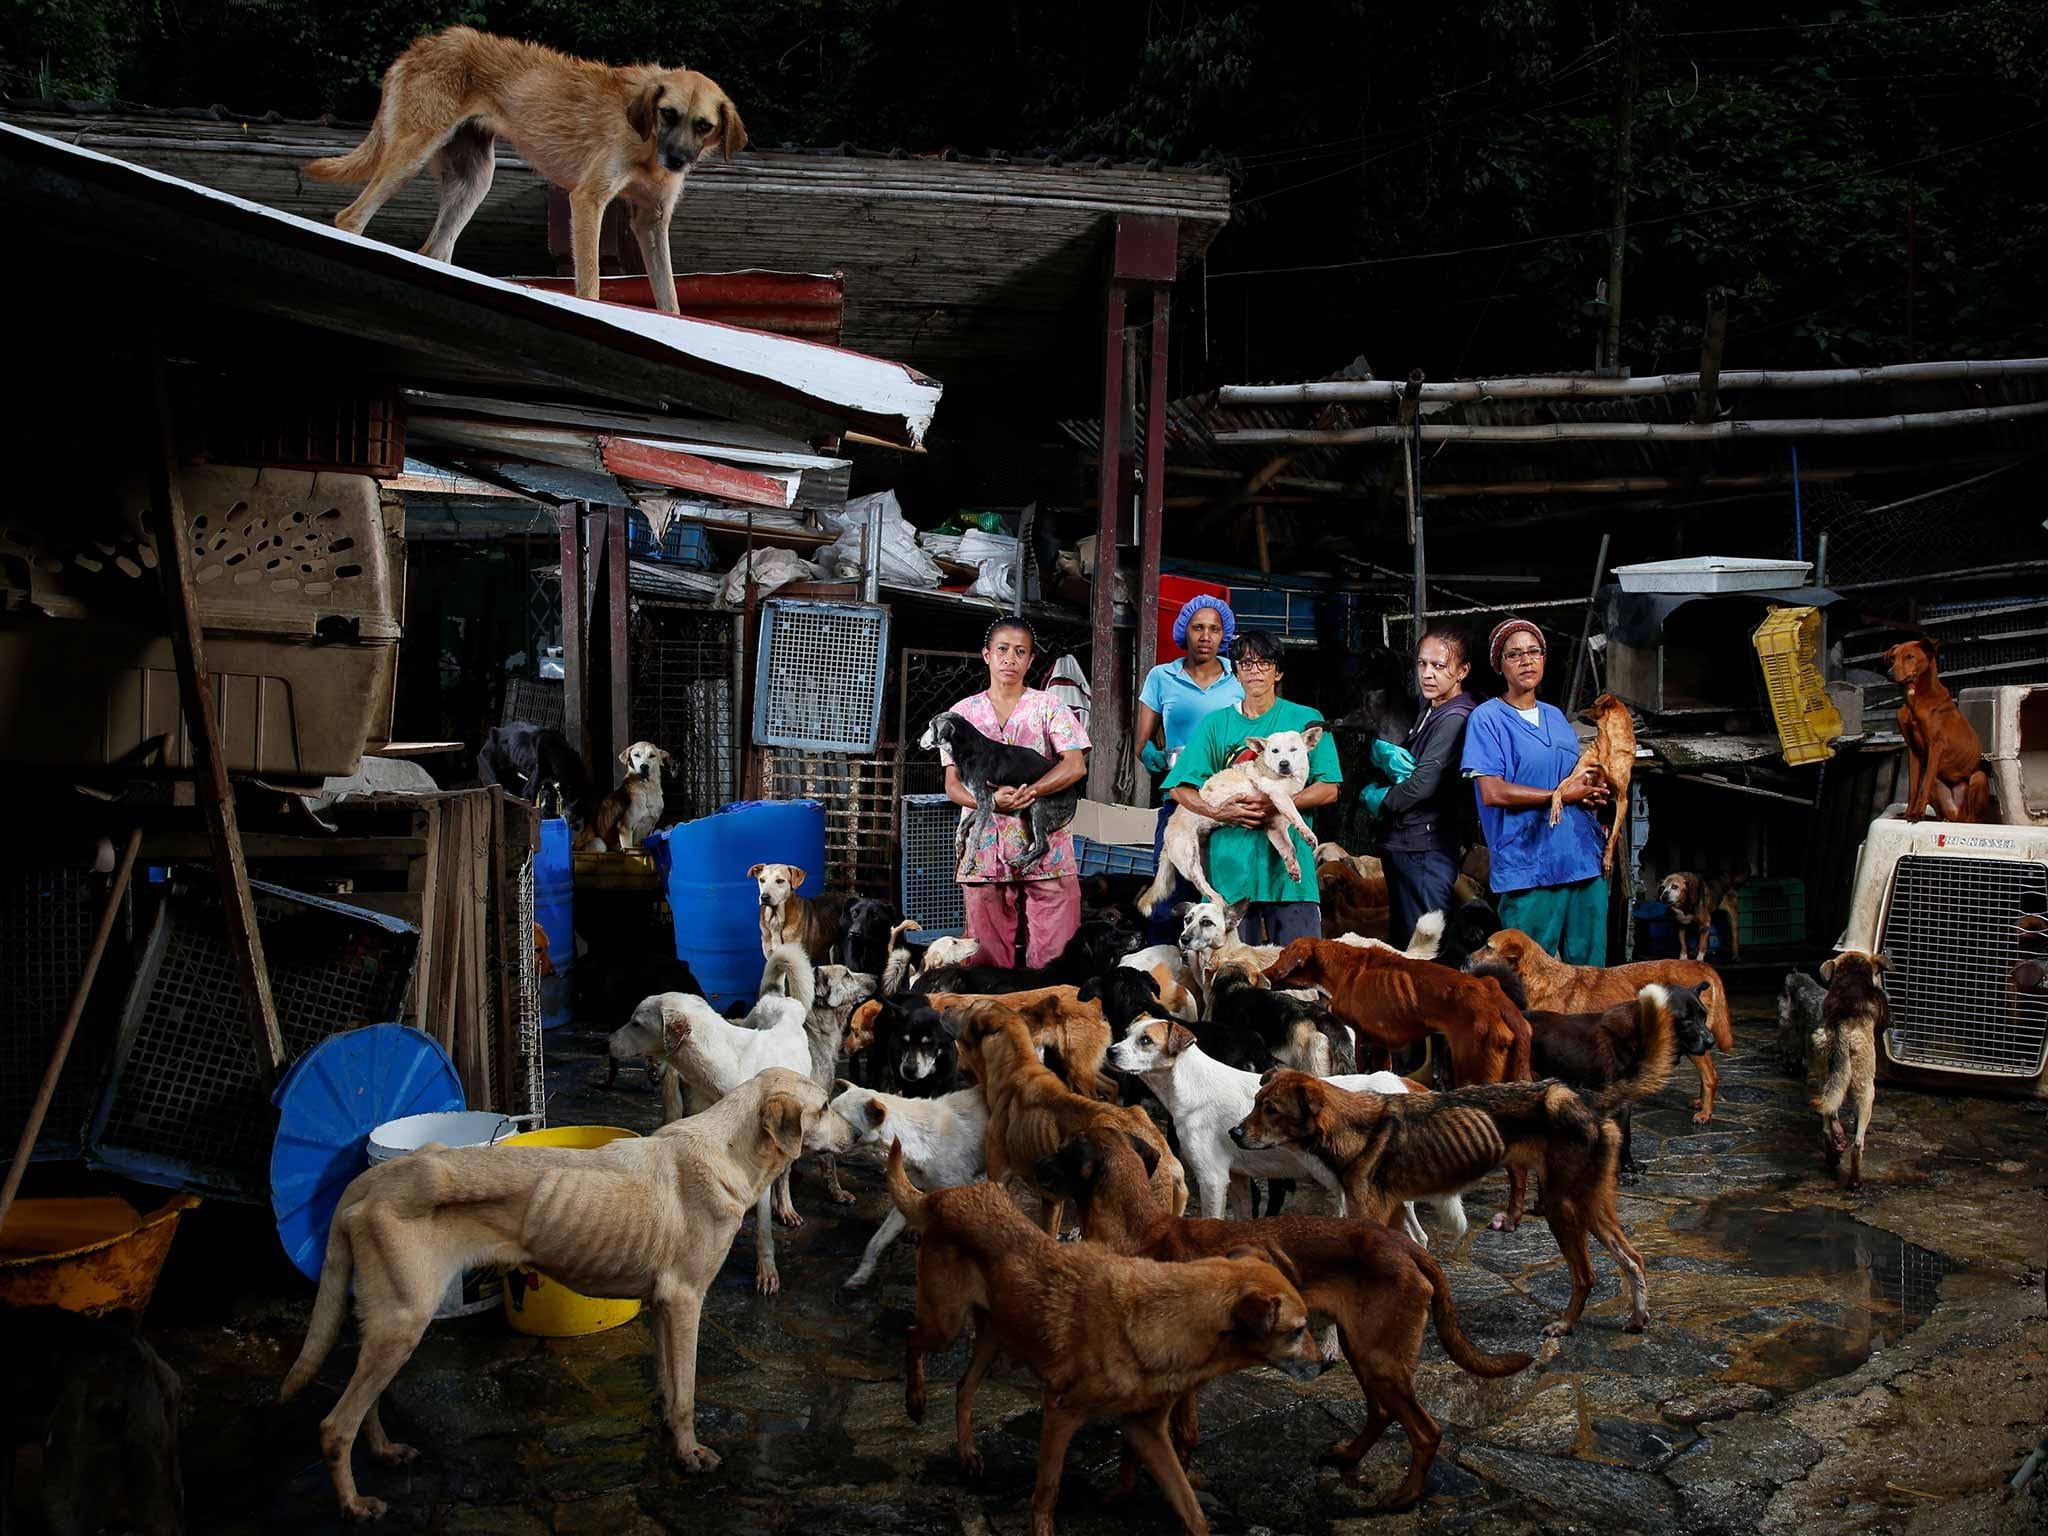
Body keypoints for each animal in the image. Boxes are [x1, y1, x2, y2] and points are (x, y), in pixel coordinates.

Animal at [303, 26, 745, 313]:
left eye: (703, 125)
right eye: (668, 113)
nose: (677, 161)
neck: (649, 142)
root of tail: (424, 44)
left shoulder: (650, 222)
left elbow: (670, 300)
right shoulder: (588, 200)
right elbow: (591, 284)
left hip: (475, 182)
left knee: (433, 251)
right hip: (410, 155)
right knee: (349, 219)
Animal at [892, 1146, 1310, 1536]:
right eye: (1296, 1330)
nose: (1323, 1364)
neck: (1167, 1320)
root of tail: (941, 1198)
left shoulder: (1147, 1430)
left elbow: (1191, 1509)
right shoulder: (1060, 1411)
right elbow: (1047, 1490)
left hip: (995, 1334)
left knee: (963, 1387)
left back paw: (967, 1454)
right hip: (945, 1325)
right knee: (911, 1338)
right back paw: (916, 1402)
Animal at [917, 716, 1081, 872]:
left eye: (931, 727)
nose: (918, 740)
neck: (968, 749)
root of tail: (1074, 798)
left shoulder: (985, 801)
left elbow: (975, 835)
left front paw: (970, 862)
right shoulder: (987, 803)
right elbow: (963, 824)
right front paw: (959, 844)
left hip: (1037, 806)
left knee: (1043, 846)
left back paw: (1019, 861)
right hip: (1032, 815)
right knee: (1042, 845)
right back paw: (1029, 866)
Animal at [1048, 1122, 1531, 1515]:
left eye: (1061, 1151)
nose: (1035, 1163)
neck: (1137, 1231)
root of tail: (1407, 1246)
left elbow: (1148, 1447)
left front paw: (1129, 1497)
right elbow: (1169, 1440)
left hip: (1380, 1359)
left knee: (1426, 1431)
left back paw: (1404, 1497)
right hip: (1364, 1350)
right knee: (1380, 1413)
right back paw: (1349, 1457)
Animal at [1228, 1073, 1646, 1335]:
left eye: (1272, 1110)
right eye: (1255, 1103)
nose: (1233, 1132)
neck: (1350, 1129)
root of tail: (1587, 1101)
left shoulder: (1370, 1214)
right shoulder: (1393, 1213)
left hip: (1562, 1208)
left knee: (1586, 1275)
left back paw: (1565, 1326)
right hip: (1590, 1205)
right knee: (1633, 1258)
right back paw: (1639, 1319)